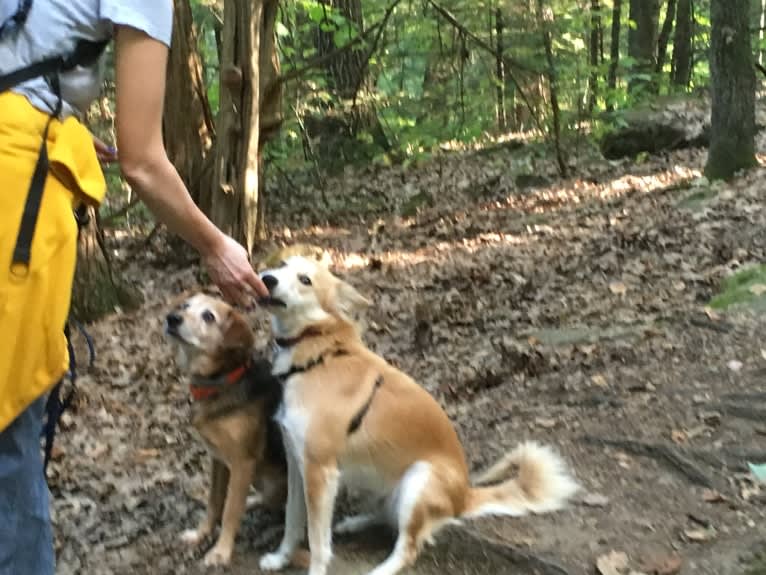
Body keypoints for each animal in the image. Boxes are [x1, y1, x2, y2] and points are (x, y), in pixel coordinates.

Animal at [255, 256, 580, 575]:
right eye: (282, 264)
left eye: (305, 280)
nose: (266, 279)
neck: (320, 354)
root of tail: (463, 496)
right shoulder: (298, 465)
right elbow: (292, 521)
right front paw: (281, 557)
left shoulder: (319, 471)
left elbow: (318, 542)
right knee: (388, 518)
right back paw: (356, 522)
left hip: (419, 478)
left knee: (408, 547)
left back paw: (380, 568)